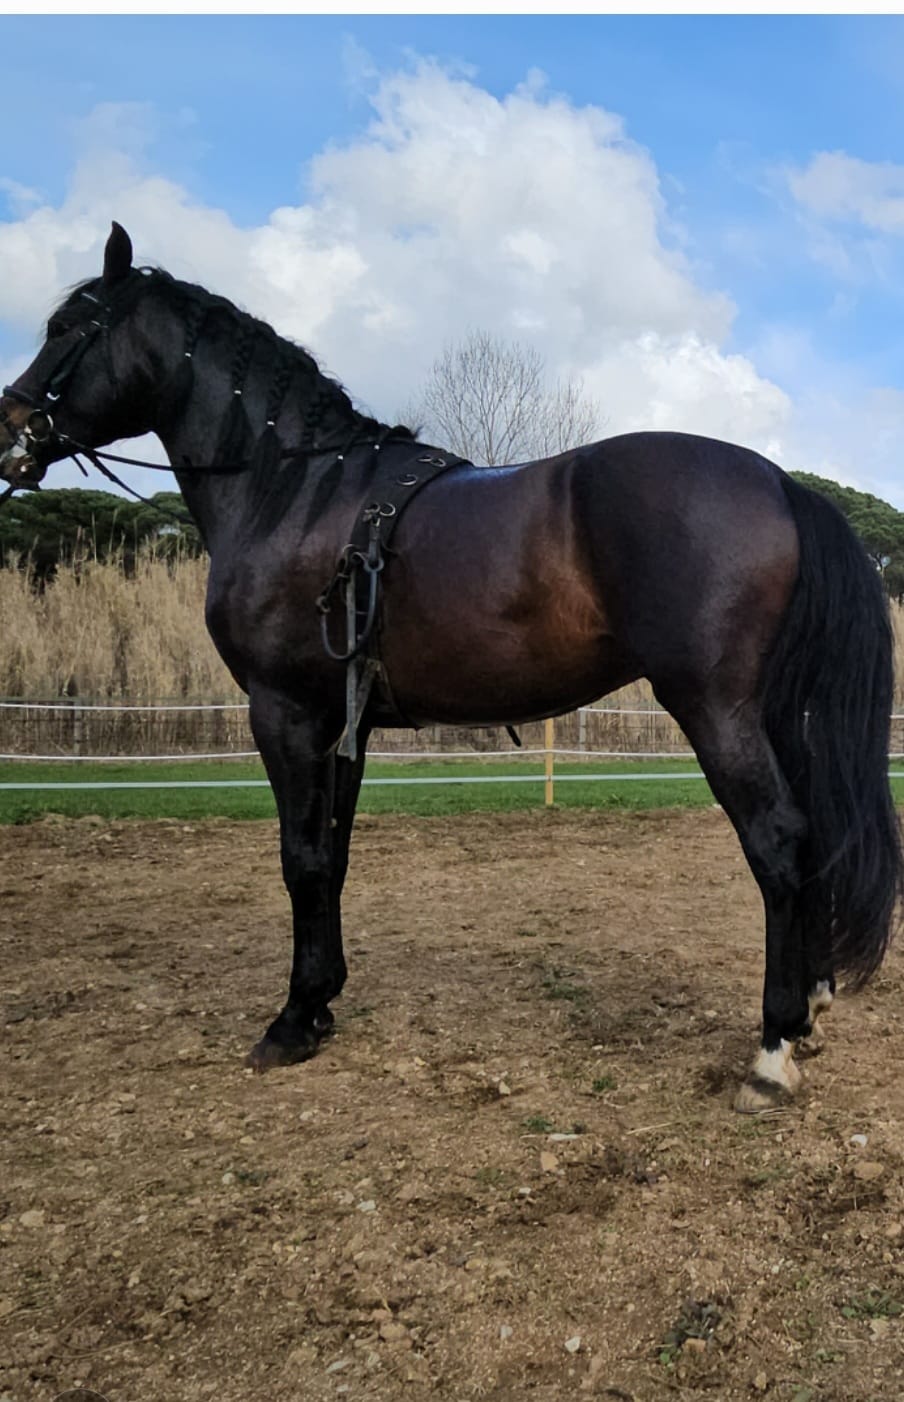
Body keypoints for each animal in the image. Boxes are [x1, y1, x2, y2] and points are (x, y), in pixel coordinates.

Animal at [1, 222, 900, 1113]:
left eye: (64, 328)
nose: (12, 430)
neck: (297, 491)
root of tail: (779, 483)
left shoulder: (284, 712)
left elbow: (301, 858)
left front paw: (291, 1022)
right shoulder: (344, 725)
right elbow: (333, 856)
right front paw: (321, 1003)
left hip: (716, 709)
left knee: (777, 840)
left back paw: (773, 1047)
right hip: (777, 715)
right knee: (815, 834)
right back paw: (812, 1003)